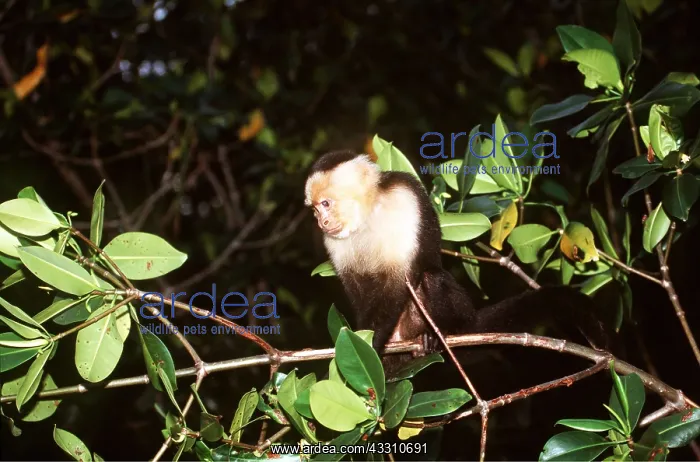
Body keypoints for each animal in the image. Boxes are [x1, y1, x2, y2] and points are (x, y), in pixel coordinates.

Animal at [304, 150, 608, 371]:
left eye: (326, 204)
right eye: (316, 210)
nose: (321, 222)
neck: (368, 212)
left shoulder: (401, 201)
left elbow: (399, 280)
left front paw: (368, 344)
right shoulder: (334, 239)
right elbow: (357, 289)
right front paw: (358, 341)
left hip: (455, 313)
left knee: (431, 278)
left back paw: (438, 334)